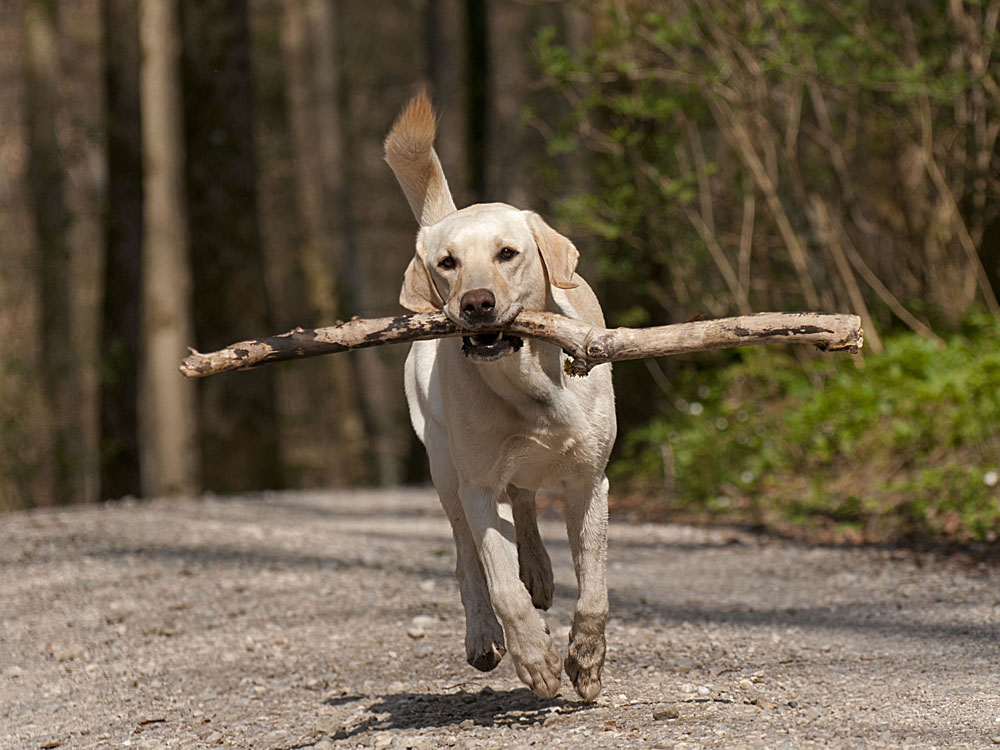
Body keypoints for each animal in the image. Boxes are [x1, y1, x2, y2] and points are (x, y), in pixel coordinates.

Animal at [384, 95, 612, 704]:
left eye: (507, 253)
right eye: (447, 262)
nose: (477, 304)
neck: (524, 380)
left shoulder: (591, 481)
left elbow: (595, 589)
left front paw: (586, 657)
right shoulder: (478, 487)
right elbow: (499, 580)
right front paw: (534, 657)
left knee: (527, 504)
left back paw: (538, 569)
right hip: (445, 471)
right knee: (469, 560)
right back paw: (485, 633)